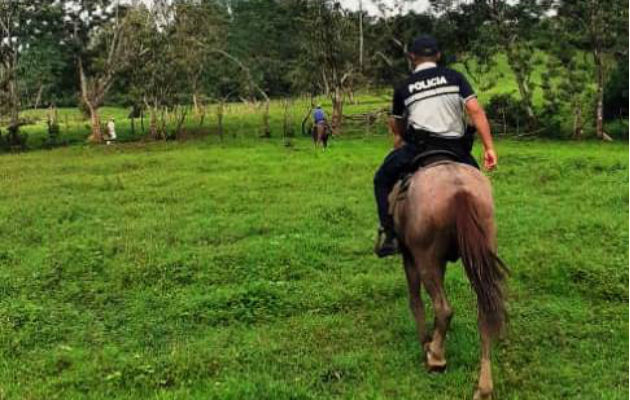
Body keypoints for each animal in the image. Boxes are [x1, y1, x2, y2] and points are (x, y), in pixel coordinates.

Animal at [390, 155, 508, 400]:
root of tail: (460, 190)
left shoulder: (410, 256)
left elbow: (415, 301)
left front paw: (427, 341)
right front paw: (436, 338)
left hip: (425, 257)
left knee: (443, 308)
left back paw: (435, 358)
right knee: (484, 314)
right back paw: (484, 388)